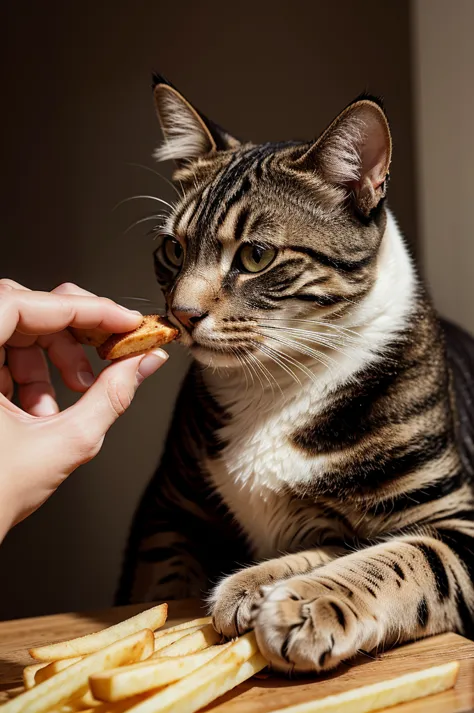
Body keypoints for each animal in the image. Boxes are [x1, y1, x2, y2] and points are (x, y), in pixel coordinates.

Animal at [115, 75, 474, 672]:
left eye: (256, 256)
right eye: (172, 248)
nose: (181, 315)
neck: (274, 384)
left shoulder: (455, 515)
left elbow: (402, 557)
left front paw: (306, 602)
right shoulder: (169, 510)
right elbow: (159, 583)